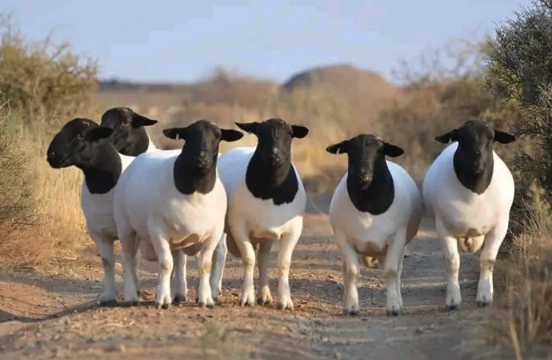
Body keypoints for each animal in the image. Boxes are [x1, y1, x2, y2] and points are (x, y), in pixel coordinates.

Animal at [46, 118, 137, 306]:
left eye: (81, 135)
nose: (51, 155)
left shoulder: (126, 230)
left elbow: (127, 259)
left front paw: (130, 295)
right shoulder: (98, 232)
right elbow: (107, 262)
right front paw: (108, 297)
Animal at [111, 119, 243, 310]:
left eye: (218, 136)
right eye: (188, 135)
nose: (202, 158)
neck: (196, 192)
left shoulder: (214, 233)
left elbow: (204, 265)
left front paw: (205, 299)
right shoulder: (158, 230)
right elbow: (165, 264)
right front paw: (162, 300)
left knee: (173, 261)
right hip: (125, 225)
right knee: (128, 258)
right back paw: (131, 295)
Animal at [217, 117, 310, 310]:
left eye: (289, 134)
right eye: (260, 134)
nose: (274, 155)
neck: (270, 191)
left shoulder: (293, 229)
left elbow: (283, 263)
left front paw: (285, 300)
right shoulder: (239, 226)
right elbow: (248, 258)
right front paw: (247, 297)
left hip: (265, 235)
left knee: (263, 257)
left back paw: (265, 295)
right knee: (220, 252)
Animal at [326, 134, 420, 316]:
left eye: (380, 151)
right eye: (350, 150)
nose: (362, 175)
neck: (368, 206)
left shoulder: (397, 238)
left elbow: (391, 272)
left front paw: (393, 307)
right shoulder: (343, 239)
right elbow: (352, 272)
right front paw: (351, 306)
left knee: (398, 270)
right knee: (345, 270)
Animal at [422, 119, 516, 310]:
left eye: (491, 139)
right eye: (461, 139)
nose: (477, 164)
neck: (474, 192)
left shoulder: (500, 227)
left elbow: (488, 260)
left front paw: (485, 297)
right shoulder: (443, 228)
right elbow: (452, 262)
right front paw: (453, 300)